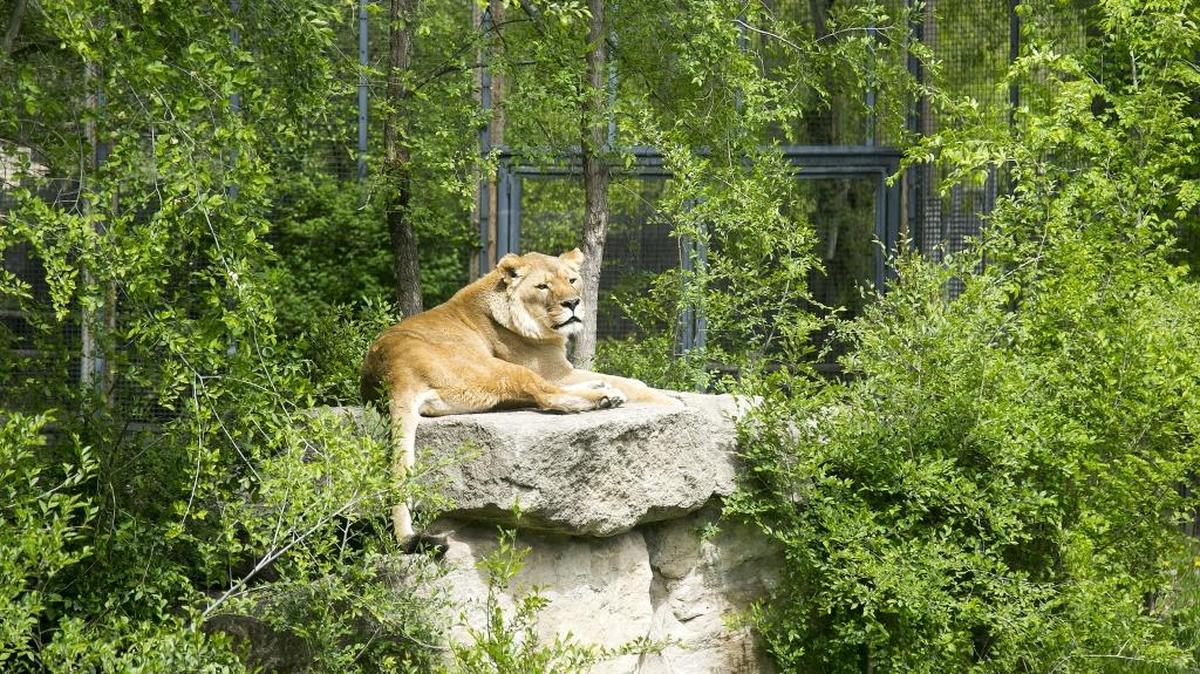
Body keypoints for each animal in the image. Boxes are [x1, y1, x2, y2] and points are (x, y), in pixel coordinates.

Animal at [360, 248, 682, 544]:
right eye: (543, 287)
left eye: (572, 280)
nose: (573, 303)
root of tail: (393, 369)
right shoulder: (555, 371)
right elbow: (628, 384)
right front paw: (668, 399)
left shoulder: (560, 370)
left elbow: (622, 378)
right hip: (503, 369)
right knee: (548, 396)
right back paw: (604, 398)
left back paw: (601, 390)